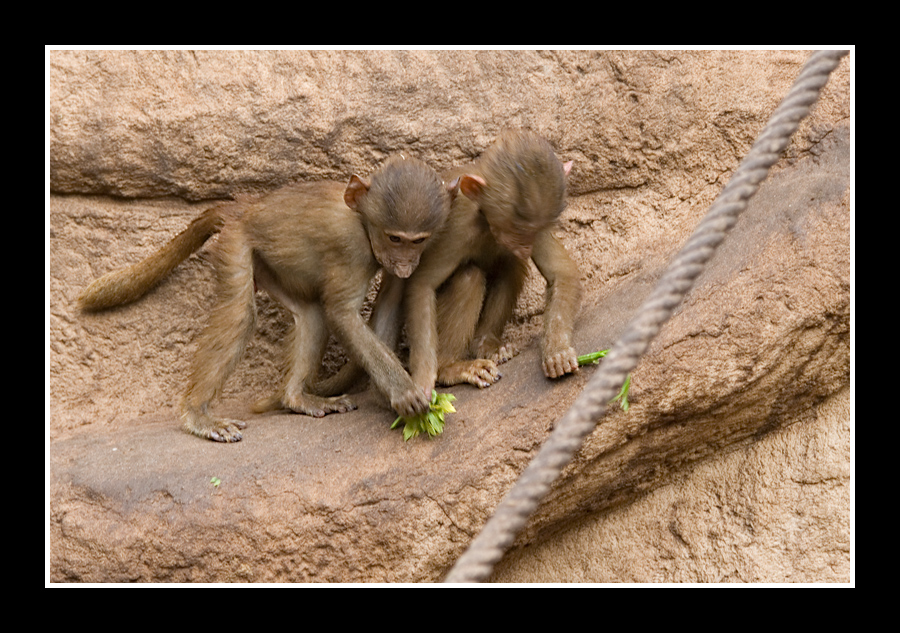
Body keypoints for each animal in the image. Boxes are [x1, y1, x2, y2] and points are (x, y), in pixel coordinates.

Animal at [79, 154, 450, 440]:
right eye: (395, 238)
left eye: (418, 241)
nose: (406, 264)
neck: (361, 220)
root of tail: (242, 207)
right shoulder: (352, 248)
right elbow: (342, 314)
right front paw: (406, 394)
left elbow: (381, 304)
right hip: (236, 242)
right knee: (240, 314)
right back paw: (197, 416)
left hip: (271, 265)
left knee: (311, 317)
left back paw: (296, 398)